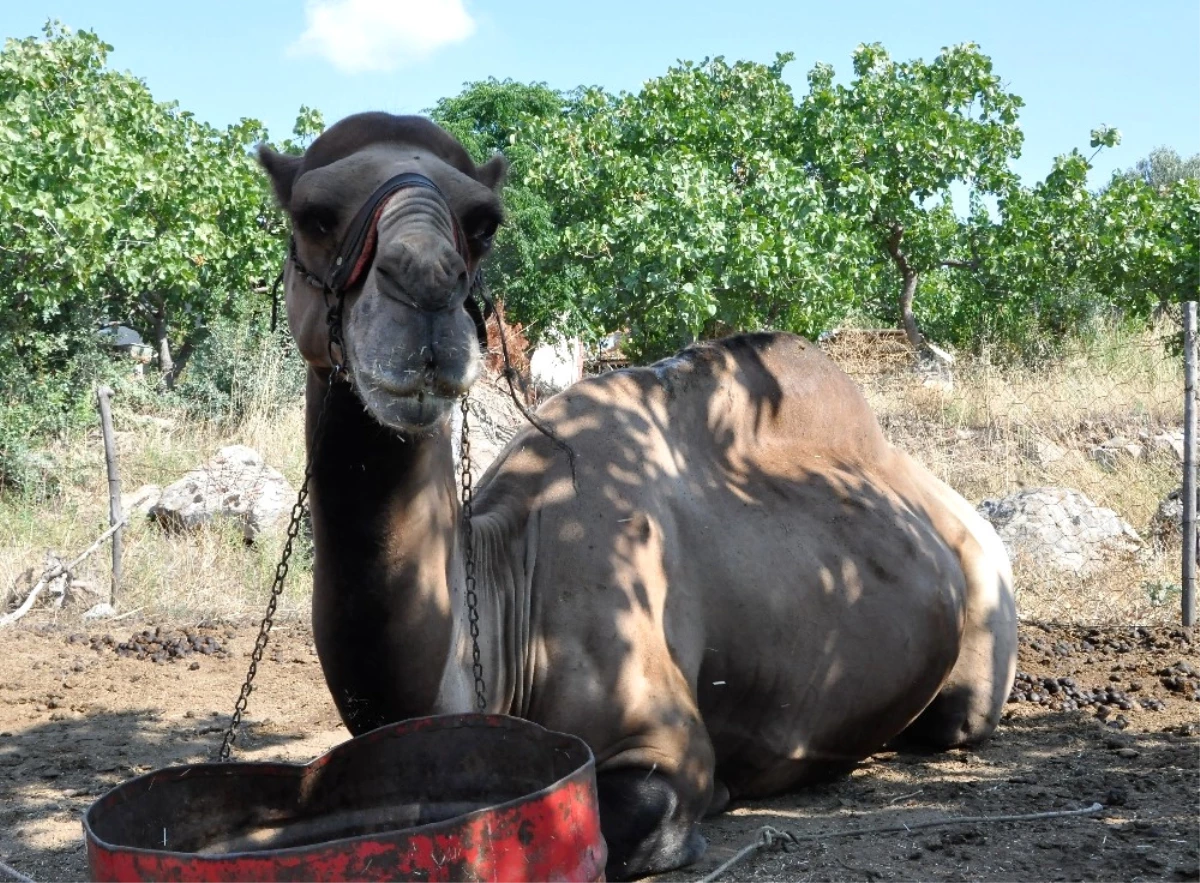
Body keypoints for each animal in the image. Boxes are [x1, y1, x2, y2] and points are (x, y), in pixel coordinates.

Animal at [258, 113, 1017, 878]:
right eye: (311, 215)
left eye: (483, 224)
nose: (424, 292)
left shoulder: (666, 740)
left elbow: (635, 820)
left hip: (984, 623)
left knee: (955, 716)